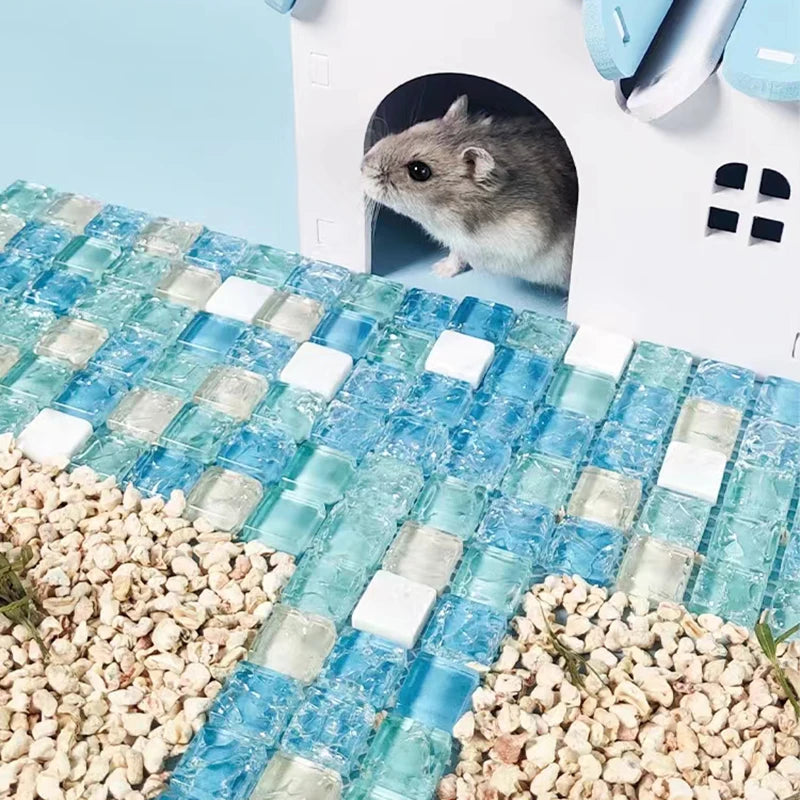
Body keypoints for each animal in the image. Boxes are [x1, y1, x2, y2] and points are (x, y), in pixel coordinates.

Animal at [361, 95, 578, 290]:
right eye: (412, 128)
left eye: (419, 171)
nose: (362, 166)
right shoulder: (461, 242)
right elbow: (456, 254)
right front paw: (438, 270)